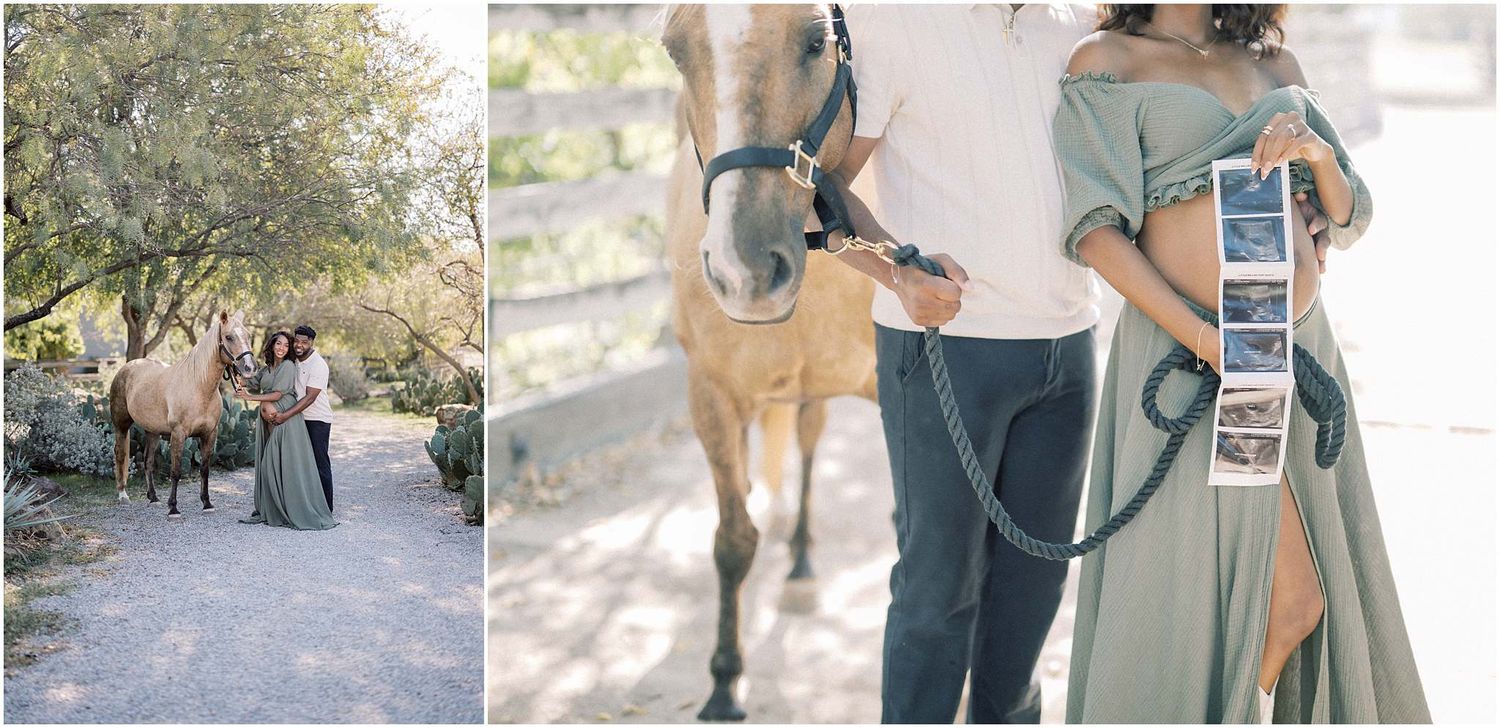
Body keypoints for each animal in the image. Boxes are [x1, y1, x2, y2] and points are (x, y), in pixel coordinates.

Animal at [109, 310, 259, 518]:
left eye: (248, 335)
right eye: (229, 337)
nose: (250, 368)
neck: (199, 387)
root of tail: (126, 367)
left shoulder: (210, 434)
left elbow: (204, 470)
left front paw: (207, 503)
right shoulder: (178, 434)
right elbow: (176, 471)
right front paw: (173, 508)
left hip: (152, 432)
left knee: (147, 461)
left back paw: (153, 498)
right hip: (121, 426)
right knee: (121, 454)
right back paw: (123, 495)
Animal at [662, 5, 876, 720]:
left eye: (816, 41)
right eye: (675, 51)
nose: (745, 271)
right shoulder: (713, 396)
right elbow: (733, 542)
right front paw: (725, 683)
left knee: (809, 446)